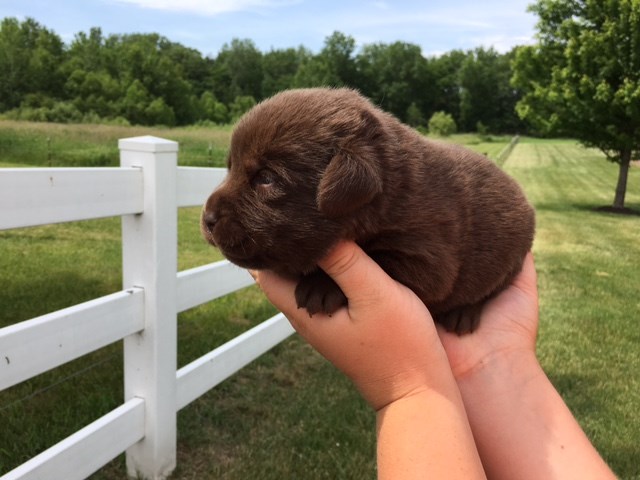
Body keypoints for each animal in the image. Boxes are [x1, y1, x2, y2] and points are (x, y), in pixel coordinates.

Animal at [201, 87, 536, 334]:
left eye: (266, 179)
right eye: (230, 167)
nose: (207, 219)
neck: (391, 193)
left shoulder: (429, 257)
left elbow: (378, 257)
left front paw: (321, 287)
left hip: (510, 260)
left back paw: (462, 316)